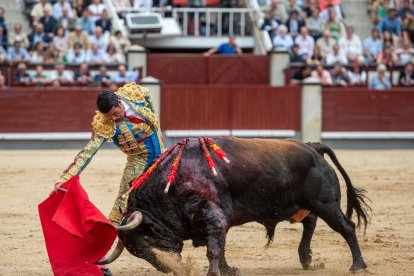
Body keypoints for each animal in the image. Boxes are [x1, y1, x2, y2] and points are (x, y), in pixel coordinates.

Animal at [98, 137, 370, 274]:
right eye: (137, 252)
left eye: (146, 239)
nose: (168, 269)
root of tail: (313, 147)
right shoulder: (219, 220)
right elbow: (221, 246)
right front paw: (228, 270)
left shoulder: (213, 216)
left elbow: (214, 249)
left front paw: (214, 273)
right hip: (303, 204)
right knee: (310, 221)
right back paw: (306, 259)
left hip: (326, 204)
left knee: (346, 227)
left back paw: (357, 266)